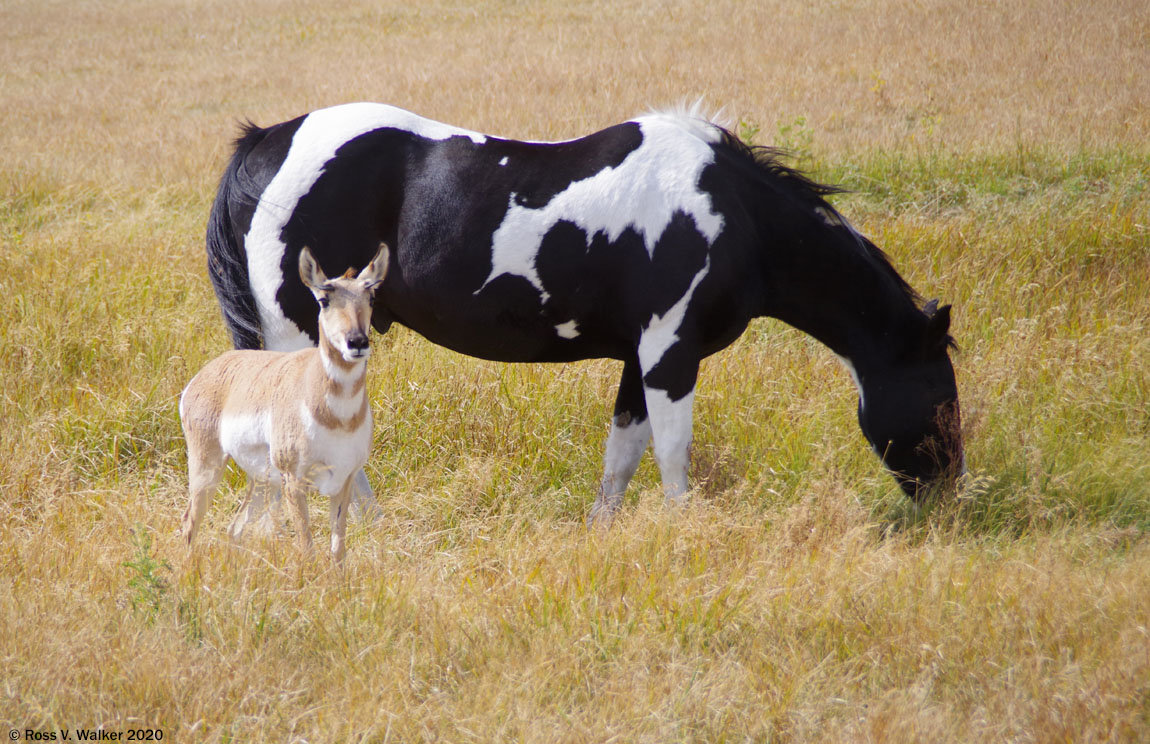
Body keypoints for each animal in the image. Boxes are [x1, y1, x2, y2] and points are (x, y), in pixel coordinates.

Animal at [180, 241, 391, 561]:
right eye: (323, 299)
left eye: (371, 295)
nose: (357, 342)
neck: (338, 418)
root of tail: (208, 372)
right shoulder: (295, 481)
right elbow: (307, 548)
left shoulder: (344, 481)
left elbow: (338, 551)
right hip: (208, 466)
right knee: (190, 523)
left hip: (260, 480)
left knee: (235, 527)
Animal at [204, 103, 961, 524]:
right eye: (942, 397)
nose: (950, 498)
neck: (732, 214)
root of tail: (266, 142)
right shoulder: (669, 352)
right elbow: (673, 452)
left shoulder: (639, 356)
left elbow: (623, 455)